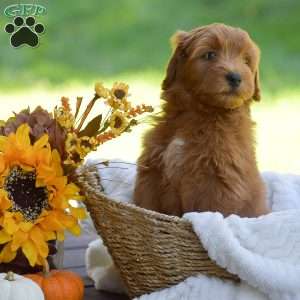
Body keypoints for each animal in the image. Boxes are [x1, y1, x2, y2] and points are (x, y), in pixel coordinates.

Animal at [132, 22, 268, 217]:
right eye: (210, 54)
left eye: (246, 61)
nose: (235, 77)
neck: (201, 113)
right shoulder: (152, 173)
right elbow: (146, 204)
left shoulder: (220, 185)